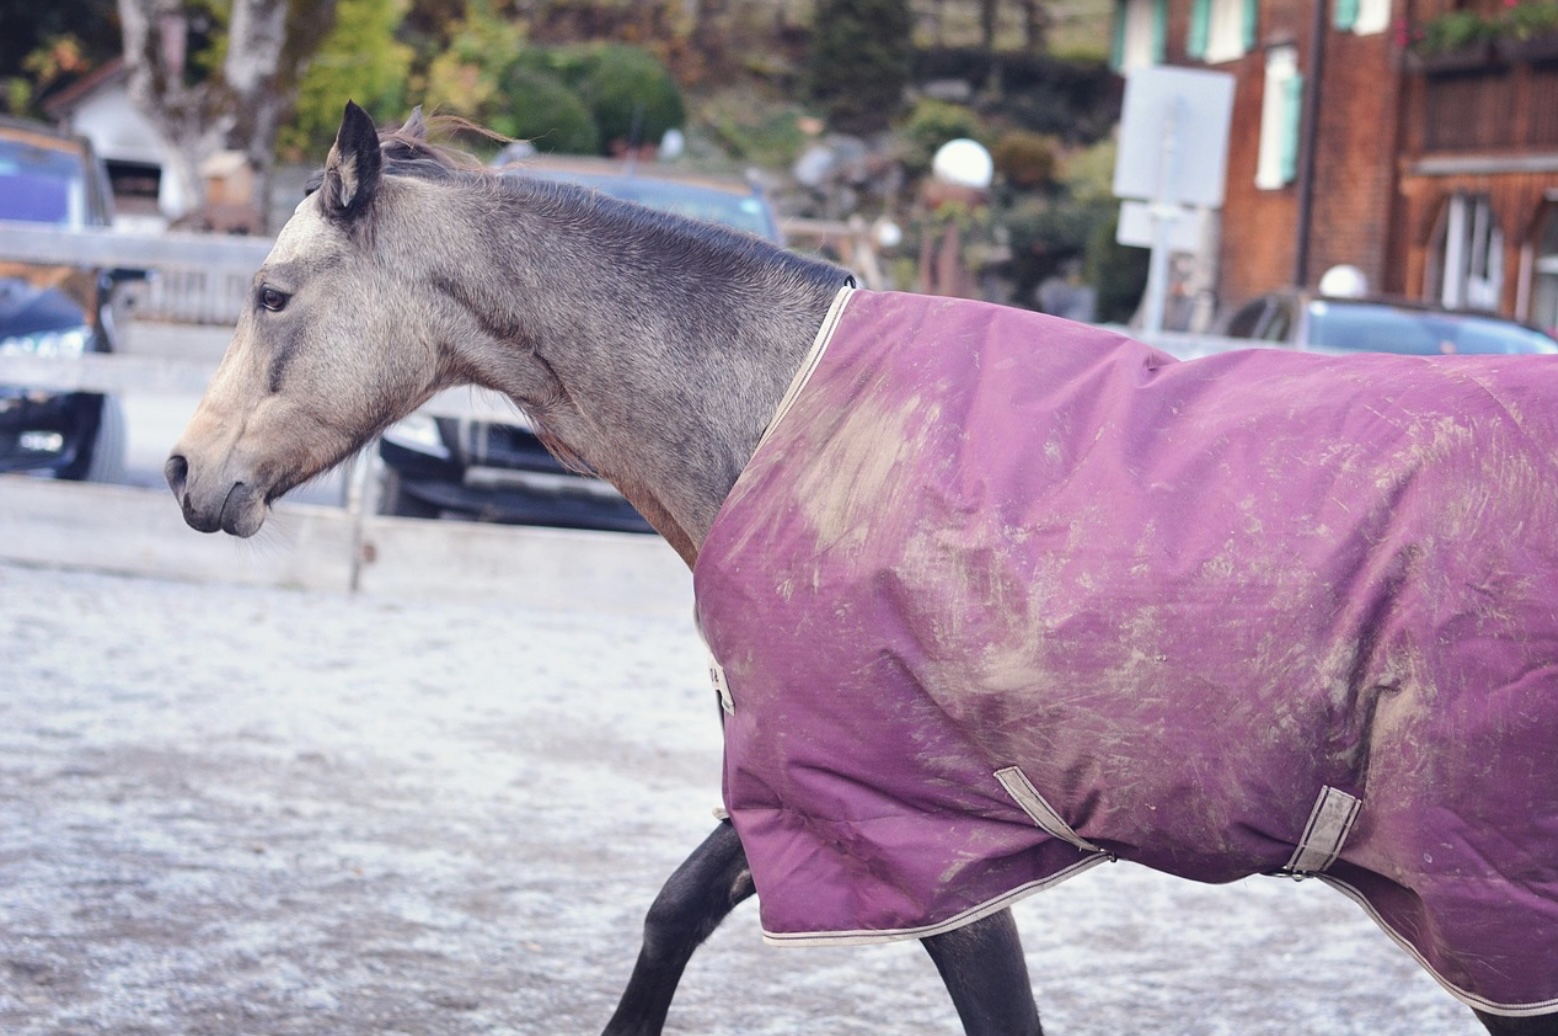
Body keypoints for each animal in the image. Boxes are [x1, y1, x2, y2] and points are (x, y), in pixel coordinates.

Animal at [166, 101, 1558, 1035]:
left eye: (272, 293)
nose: (187, 469)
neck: (793, 414)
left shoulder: (919, 844)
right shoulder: (808, 795)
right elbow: (675, 907)